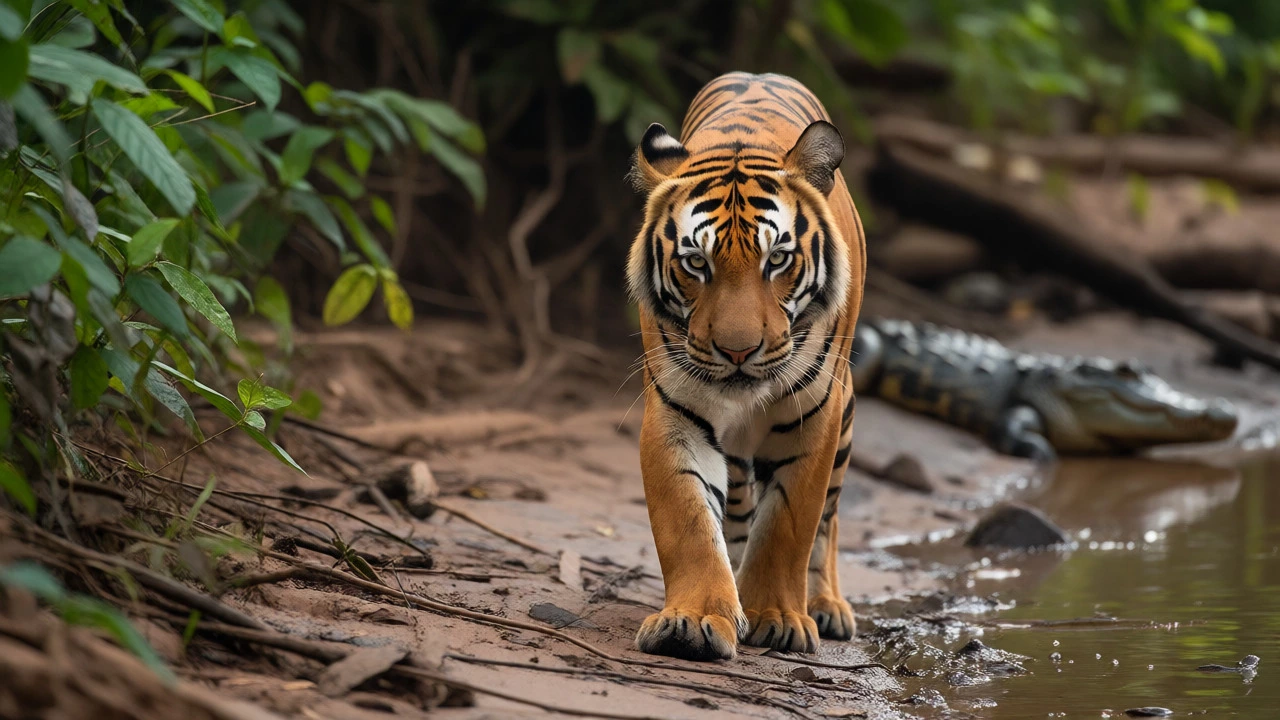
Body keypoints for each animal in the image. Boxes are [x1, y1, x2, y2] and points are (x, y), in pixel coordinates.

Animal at [625, 72, 867, 661]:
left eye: (776, 259)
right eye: (696, 263)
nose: (737, 351)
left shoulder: (815, 417)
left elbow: (789, 525)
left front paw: (777, 617)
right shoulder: (675, 413)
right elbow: (689, 520)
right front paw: (692, 620)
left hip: (847, 414)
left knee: (828, 521)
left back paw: (825, 606)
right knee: (736, 506)